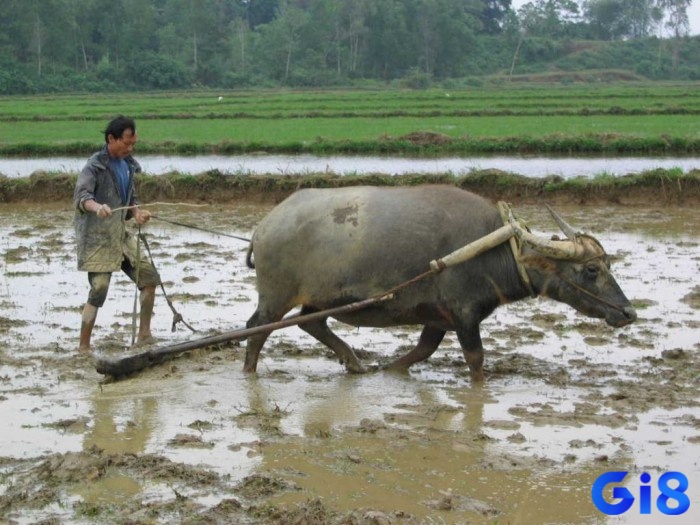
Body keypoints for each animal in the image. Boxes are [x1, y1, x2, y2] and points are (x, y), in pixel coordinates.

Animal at [243, 183, 636, 376]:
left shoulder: (437, 317)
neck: (493, 249)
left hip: (318, 297)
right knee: (257, 329)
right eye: (592, 270)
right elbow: (475, 359)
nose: (628, 313)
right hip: (276, 296)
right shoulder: (464, 314)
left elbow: (423, 350)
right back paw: (249, 372)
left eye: (608, 264)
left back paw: (353, 362)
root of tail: (264, 226)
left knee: (312, 323)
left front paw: (389, 370)